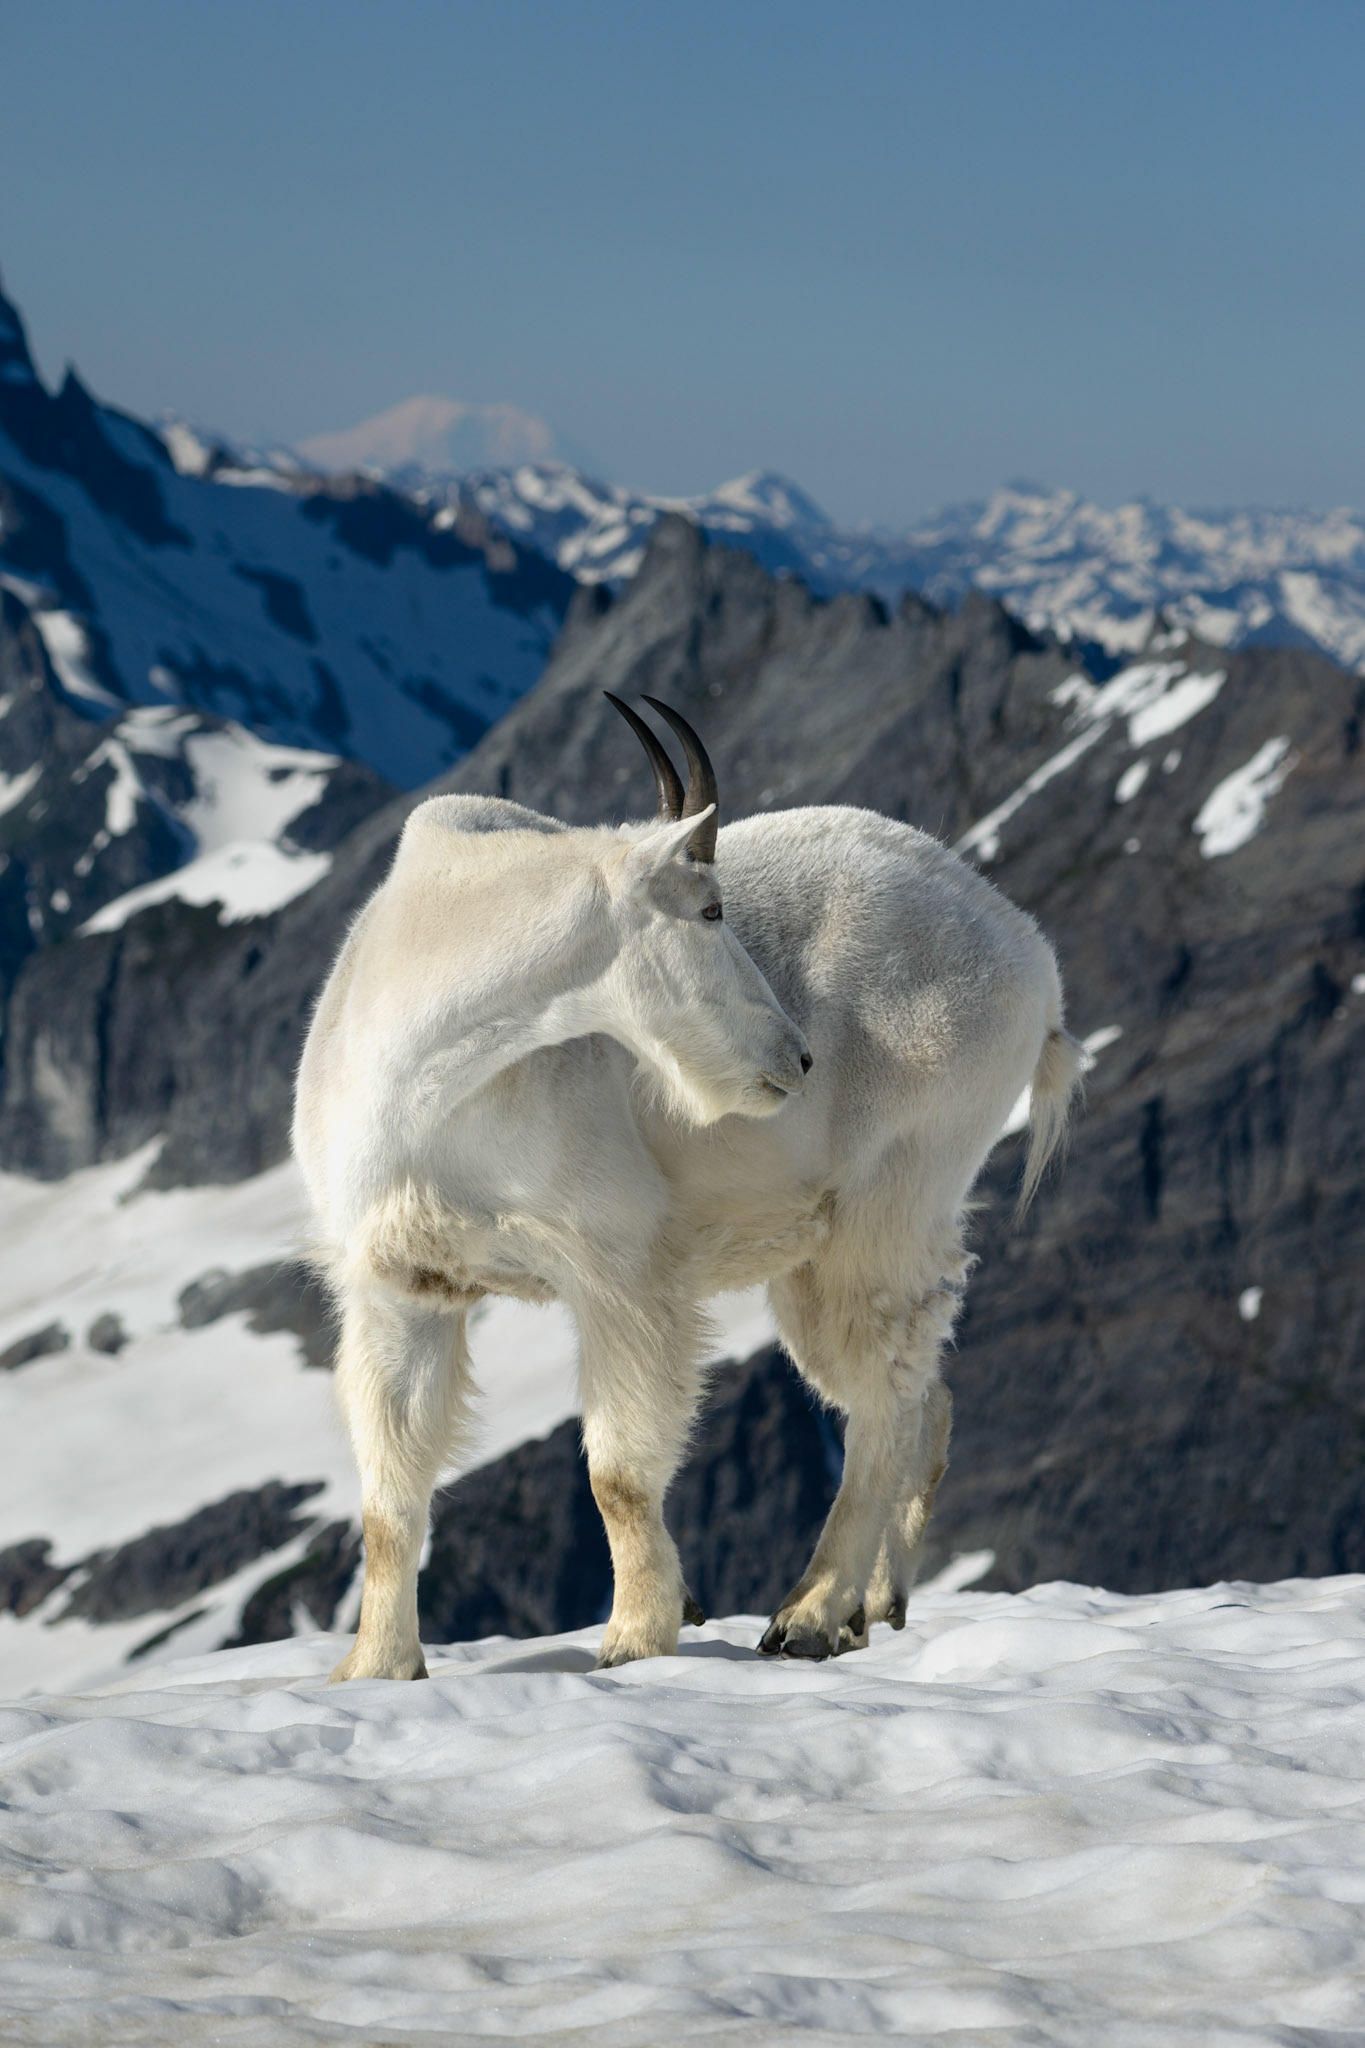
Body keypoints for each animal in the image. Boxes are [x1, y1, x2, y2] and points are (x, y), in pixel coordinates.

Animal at [294, 696, 1082, 1677]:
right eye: (710, 909)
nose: (795, 1058)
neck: (427, 1067)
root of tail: (1032, 960)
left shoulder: (618, 1264)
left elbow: (618, 1473)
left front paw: (635, 1639)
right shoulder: (404, 1282)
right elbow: (389, 1493)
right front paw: (375, 1668)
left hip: (894, 1194)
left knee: (883, 1399)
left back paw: (809, 1615)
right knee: (919, 1394)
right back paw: (873, 1606)